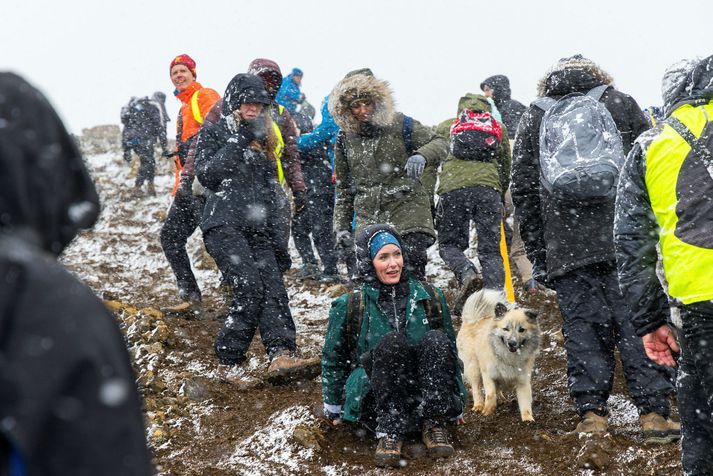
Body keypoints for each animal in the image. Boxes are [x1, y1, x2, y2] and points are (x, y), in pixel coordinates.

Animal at [456, 290, 540, 420]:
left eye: (521, 330)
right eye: (506, 329)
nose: (512, 343)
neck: (509, 357)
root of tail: (472, 320)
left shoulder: (523, 381)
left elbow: (525, 403)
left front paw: (528, 420)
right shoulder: (487, 374)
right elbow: (490, 394)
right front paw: (487, 412)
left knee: (498, 387)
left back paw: (501, 399)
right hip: (473, 367)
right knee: (476, 388)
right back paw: (478, 405)